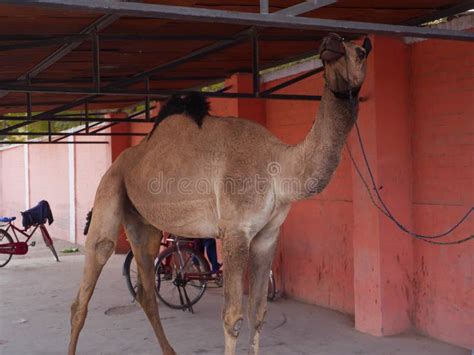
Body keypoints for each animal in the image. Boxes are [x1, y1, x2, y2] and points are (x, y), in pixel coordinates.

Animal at [67, 34, 370, 355]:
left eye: (360, 52)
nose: (330, 42)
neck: (279, 167)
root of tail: (123, 160)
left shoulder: (267, 235)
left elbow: (258, 312)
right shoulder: (236, 230)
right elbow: (233, 317)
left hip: (142, 223)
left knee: (146, 289)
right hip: (109, 186)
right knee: (91, 273)